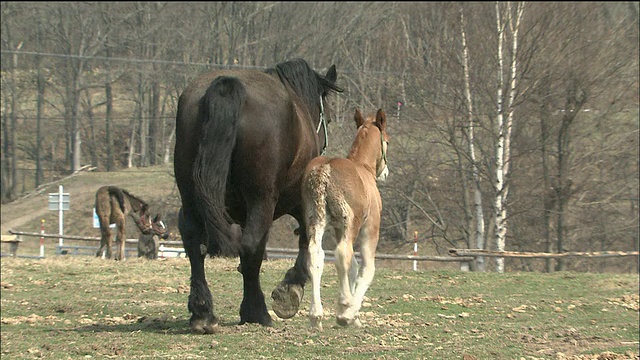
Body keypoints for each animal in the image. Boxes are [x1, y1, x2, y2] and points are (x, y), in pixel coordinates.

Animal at [172, 58, 342, 332]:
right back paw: (256, 311)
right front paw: (290, 289)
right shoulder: (299, 202)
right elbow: (306, 239)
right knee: (250, 244)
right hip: (261, 200)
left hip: (190, 197)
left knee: (194, 242)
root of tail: (227, 84)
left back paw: (203, 312)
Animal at [302, 107, 388, 330]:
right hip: (351, 222)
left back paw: (316, 315)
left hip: (315, 220)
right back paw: (344, 305)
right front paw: (349, 314)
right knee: (342, 254)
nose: (385, 173)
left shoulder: (338, 228)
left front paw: (353, 316)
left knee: (315, 255)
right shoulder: (370, 228)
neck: (363, 167)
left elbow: (353, 268)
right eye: (387, 141)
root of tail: (325, 169)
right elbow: (367, 268)